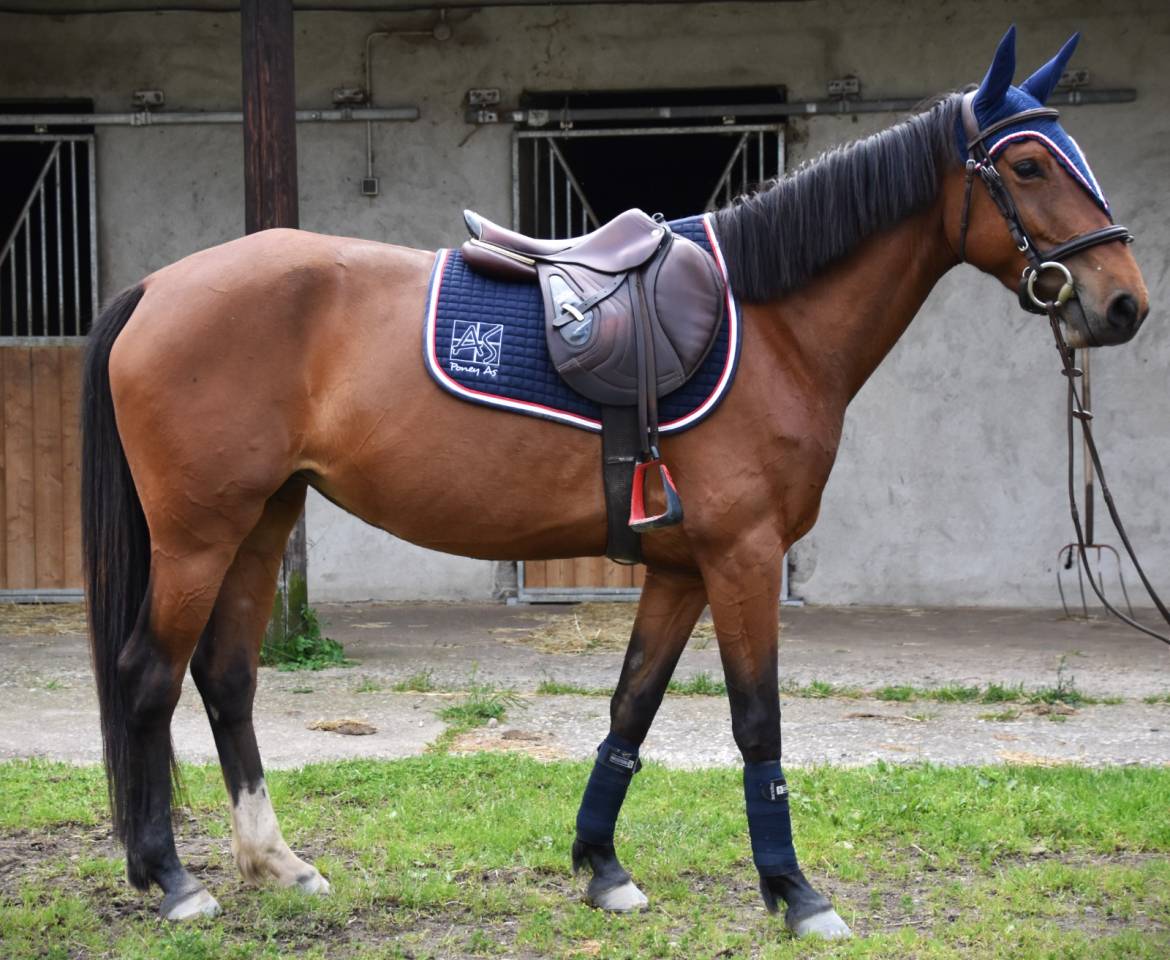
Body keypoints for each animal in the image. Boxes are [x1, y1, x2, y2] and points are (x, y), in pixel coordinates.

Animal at [81, 27, 1148, 937]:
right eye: (1027, 165)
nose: (1124, 304)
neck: (771, 322)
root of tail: (160, 286)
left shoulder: (680, 568)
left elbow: (630, 708)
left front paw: (603, 868)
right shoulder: (744, 557)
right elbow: (757, 720)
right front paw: (795, 891)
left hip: (263, 520)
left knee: (226, 676)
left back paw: (278, 863)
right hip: (198, 534)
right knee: (148, 677)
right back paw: (171, 880)